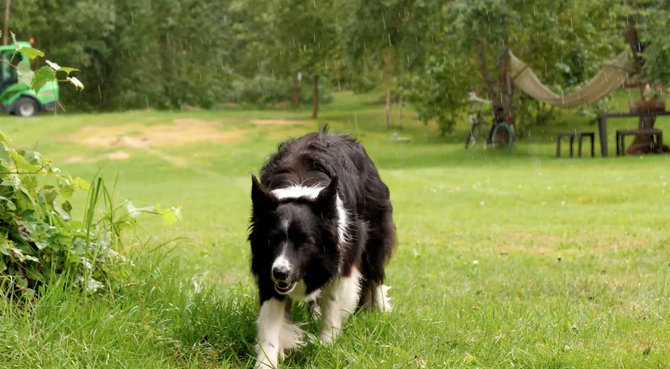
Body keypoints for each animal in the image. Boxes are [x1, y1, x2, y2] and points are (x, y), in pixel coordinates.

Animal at [249, 128, 396, 366]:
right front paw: (266, 362)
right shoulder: (267, 267)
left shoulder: (341, 260)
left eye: (305, 242)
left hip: (376, 234)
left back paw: (382, 310)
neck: (299, 190)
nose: (281, 273)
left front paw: (326, 348)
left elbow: (333, 310)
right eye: (272, 239)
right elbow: (269, 324)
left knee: (376, 274)